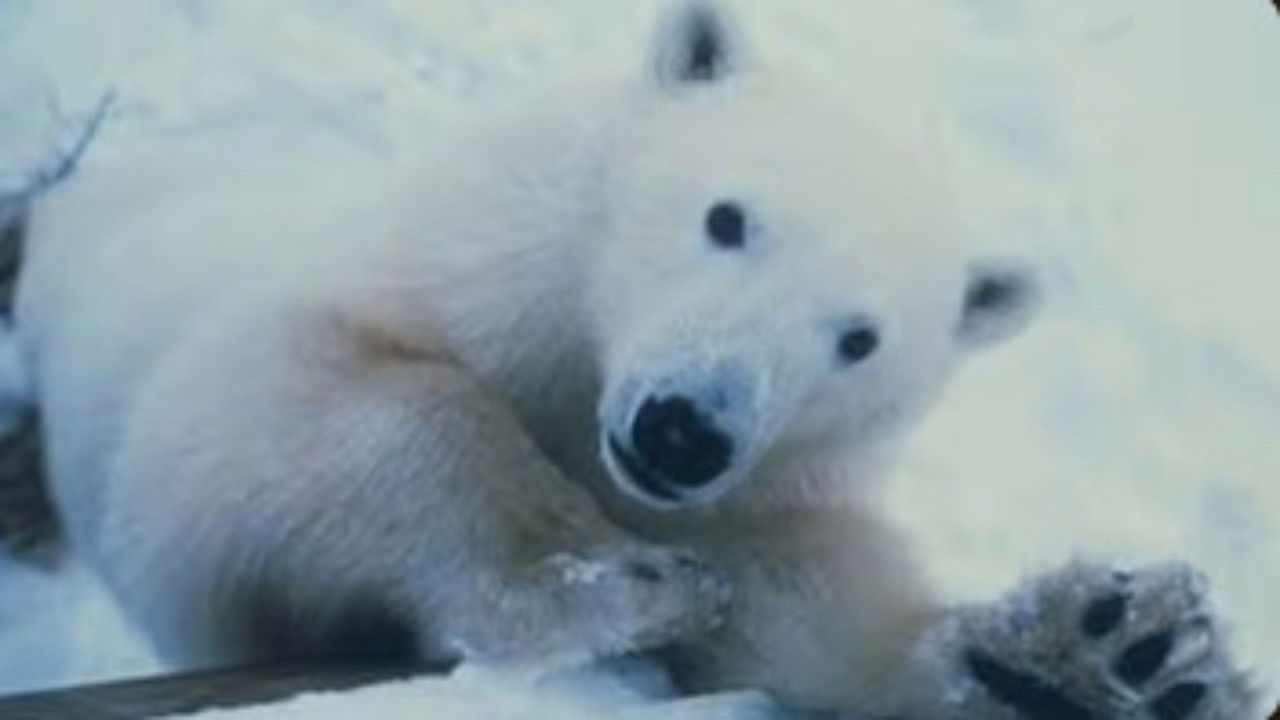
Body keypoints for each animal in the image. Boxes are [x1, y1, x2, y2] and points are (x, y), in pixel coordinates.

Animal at [10, 1, 1260, 717]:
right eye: (726, 216)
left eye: (857, 340)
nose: (684, 428)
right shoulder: (298, 347)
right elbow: (268, 422)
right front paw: (608, 576)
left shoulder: (763, 489)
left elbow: (806, 615)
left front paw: (1109, 653)